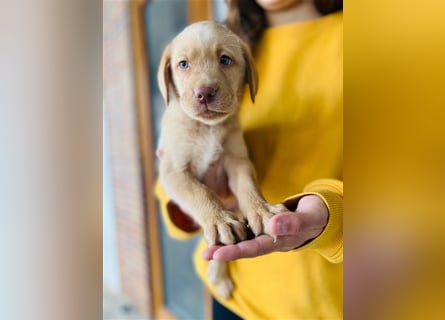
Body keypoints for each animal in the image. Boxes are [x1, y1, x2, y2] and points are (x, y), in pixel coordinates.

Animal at [158, 21, 286, 298]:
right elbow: (199, 192)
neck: (207, 129)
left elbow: (248, 187)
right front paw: (218, 220)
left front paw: (262, 209)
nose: (204, 93)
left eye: (225, 60)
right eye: (183, 64)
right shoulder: (173, 170)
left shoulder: (237, 160)